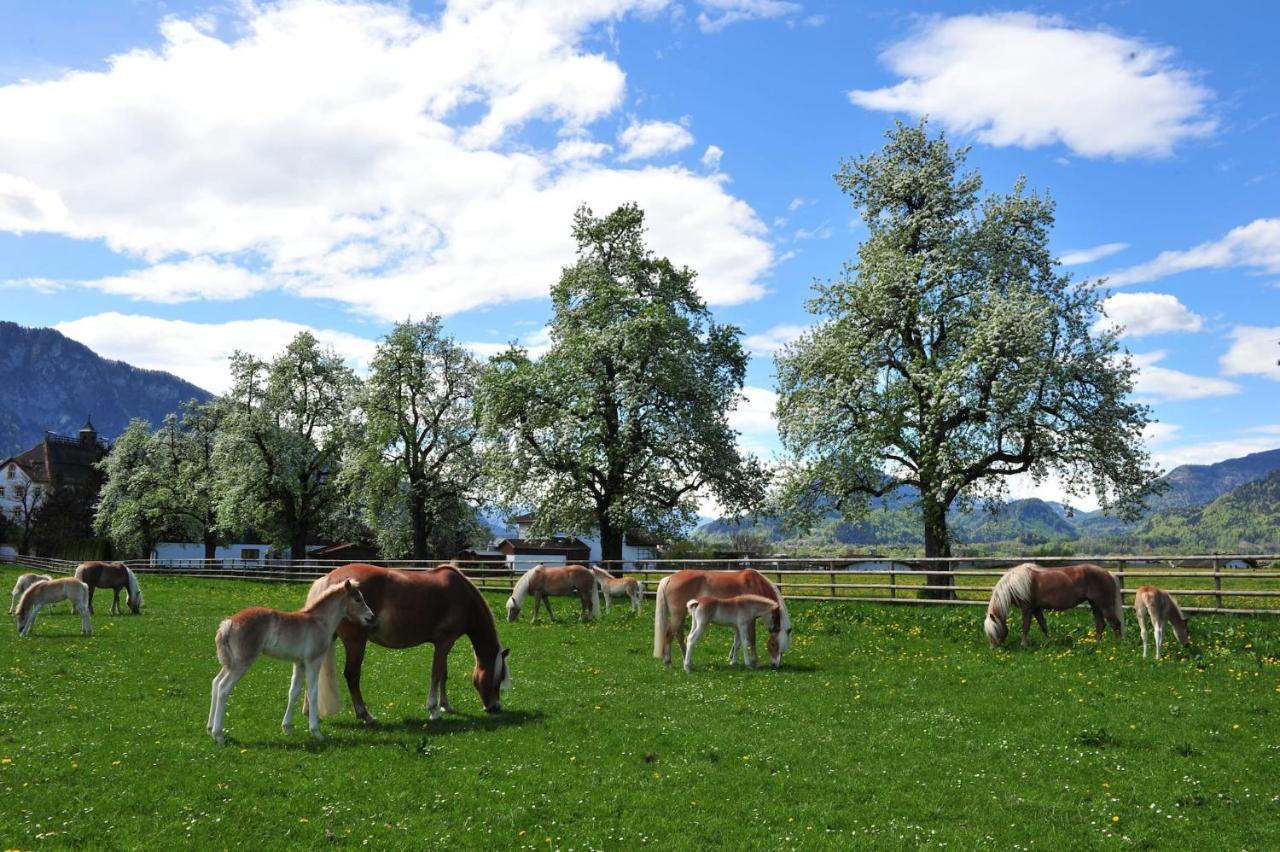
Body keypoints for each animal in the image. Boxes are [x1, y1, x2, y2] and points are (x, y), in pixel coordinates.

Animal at [206, 578, 373, 741]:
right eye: (358, 599)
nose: (371, 617)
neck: (320, 621)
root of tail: (228, 623)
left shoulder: (299, 663)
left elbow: (293, 692)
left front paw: (287, 727)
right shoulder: (313, 661)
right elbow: (313, 693)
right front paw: (316, 732)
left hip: (230, 663)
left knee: (215, 682)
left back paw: (209, 728)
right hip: (241, 663)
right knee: (223, 688)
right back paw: (218, 734)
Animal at [307, 560, 512, 721]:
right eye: (498, 678)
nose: (495, 707)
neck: (464, 596)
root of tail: (329, 579)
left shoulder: (446, 644)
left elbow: (443, 674)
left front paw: (446, 705)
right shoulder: (444, 642)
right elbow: (436, 674)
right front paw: (433, 710)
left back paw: (310, 711)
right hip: (356, 643)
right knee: (352, 675)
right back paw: (365, 715)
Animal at [660, 568, 788, 665]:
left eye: (783, 651)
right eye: (772, 644)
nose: (775, 665)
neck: (756, 584)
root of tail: (670, 578)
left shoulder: (739, 624)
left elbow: (737, 642)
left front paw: (732, 658)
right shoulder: (750, 621)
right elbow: (751, 639)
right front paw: (755, 662)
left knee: (680, 636)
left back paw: (688, 660)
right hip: (678, 615)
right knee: (670, 634)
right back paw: (668, 662)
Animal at [983, 560, 1126, 647]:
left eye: (995, 630)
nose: (993, 648)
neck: (1016, 584)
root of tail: (1108, 573)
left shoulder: (1027, 608)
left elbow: (1025, 626)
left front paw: (1023, 645)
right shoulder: (1036, 609)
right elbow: (1043, 626)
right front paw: (1048, 642)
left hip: (1104, 605)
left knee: (1115, 624)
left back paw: (1117, 645)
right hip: (1095, 605)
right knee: (1100, 625)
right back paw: (1097, 645)